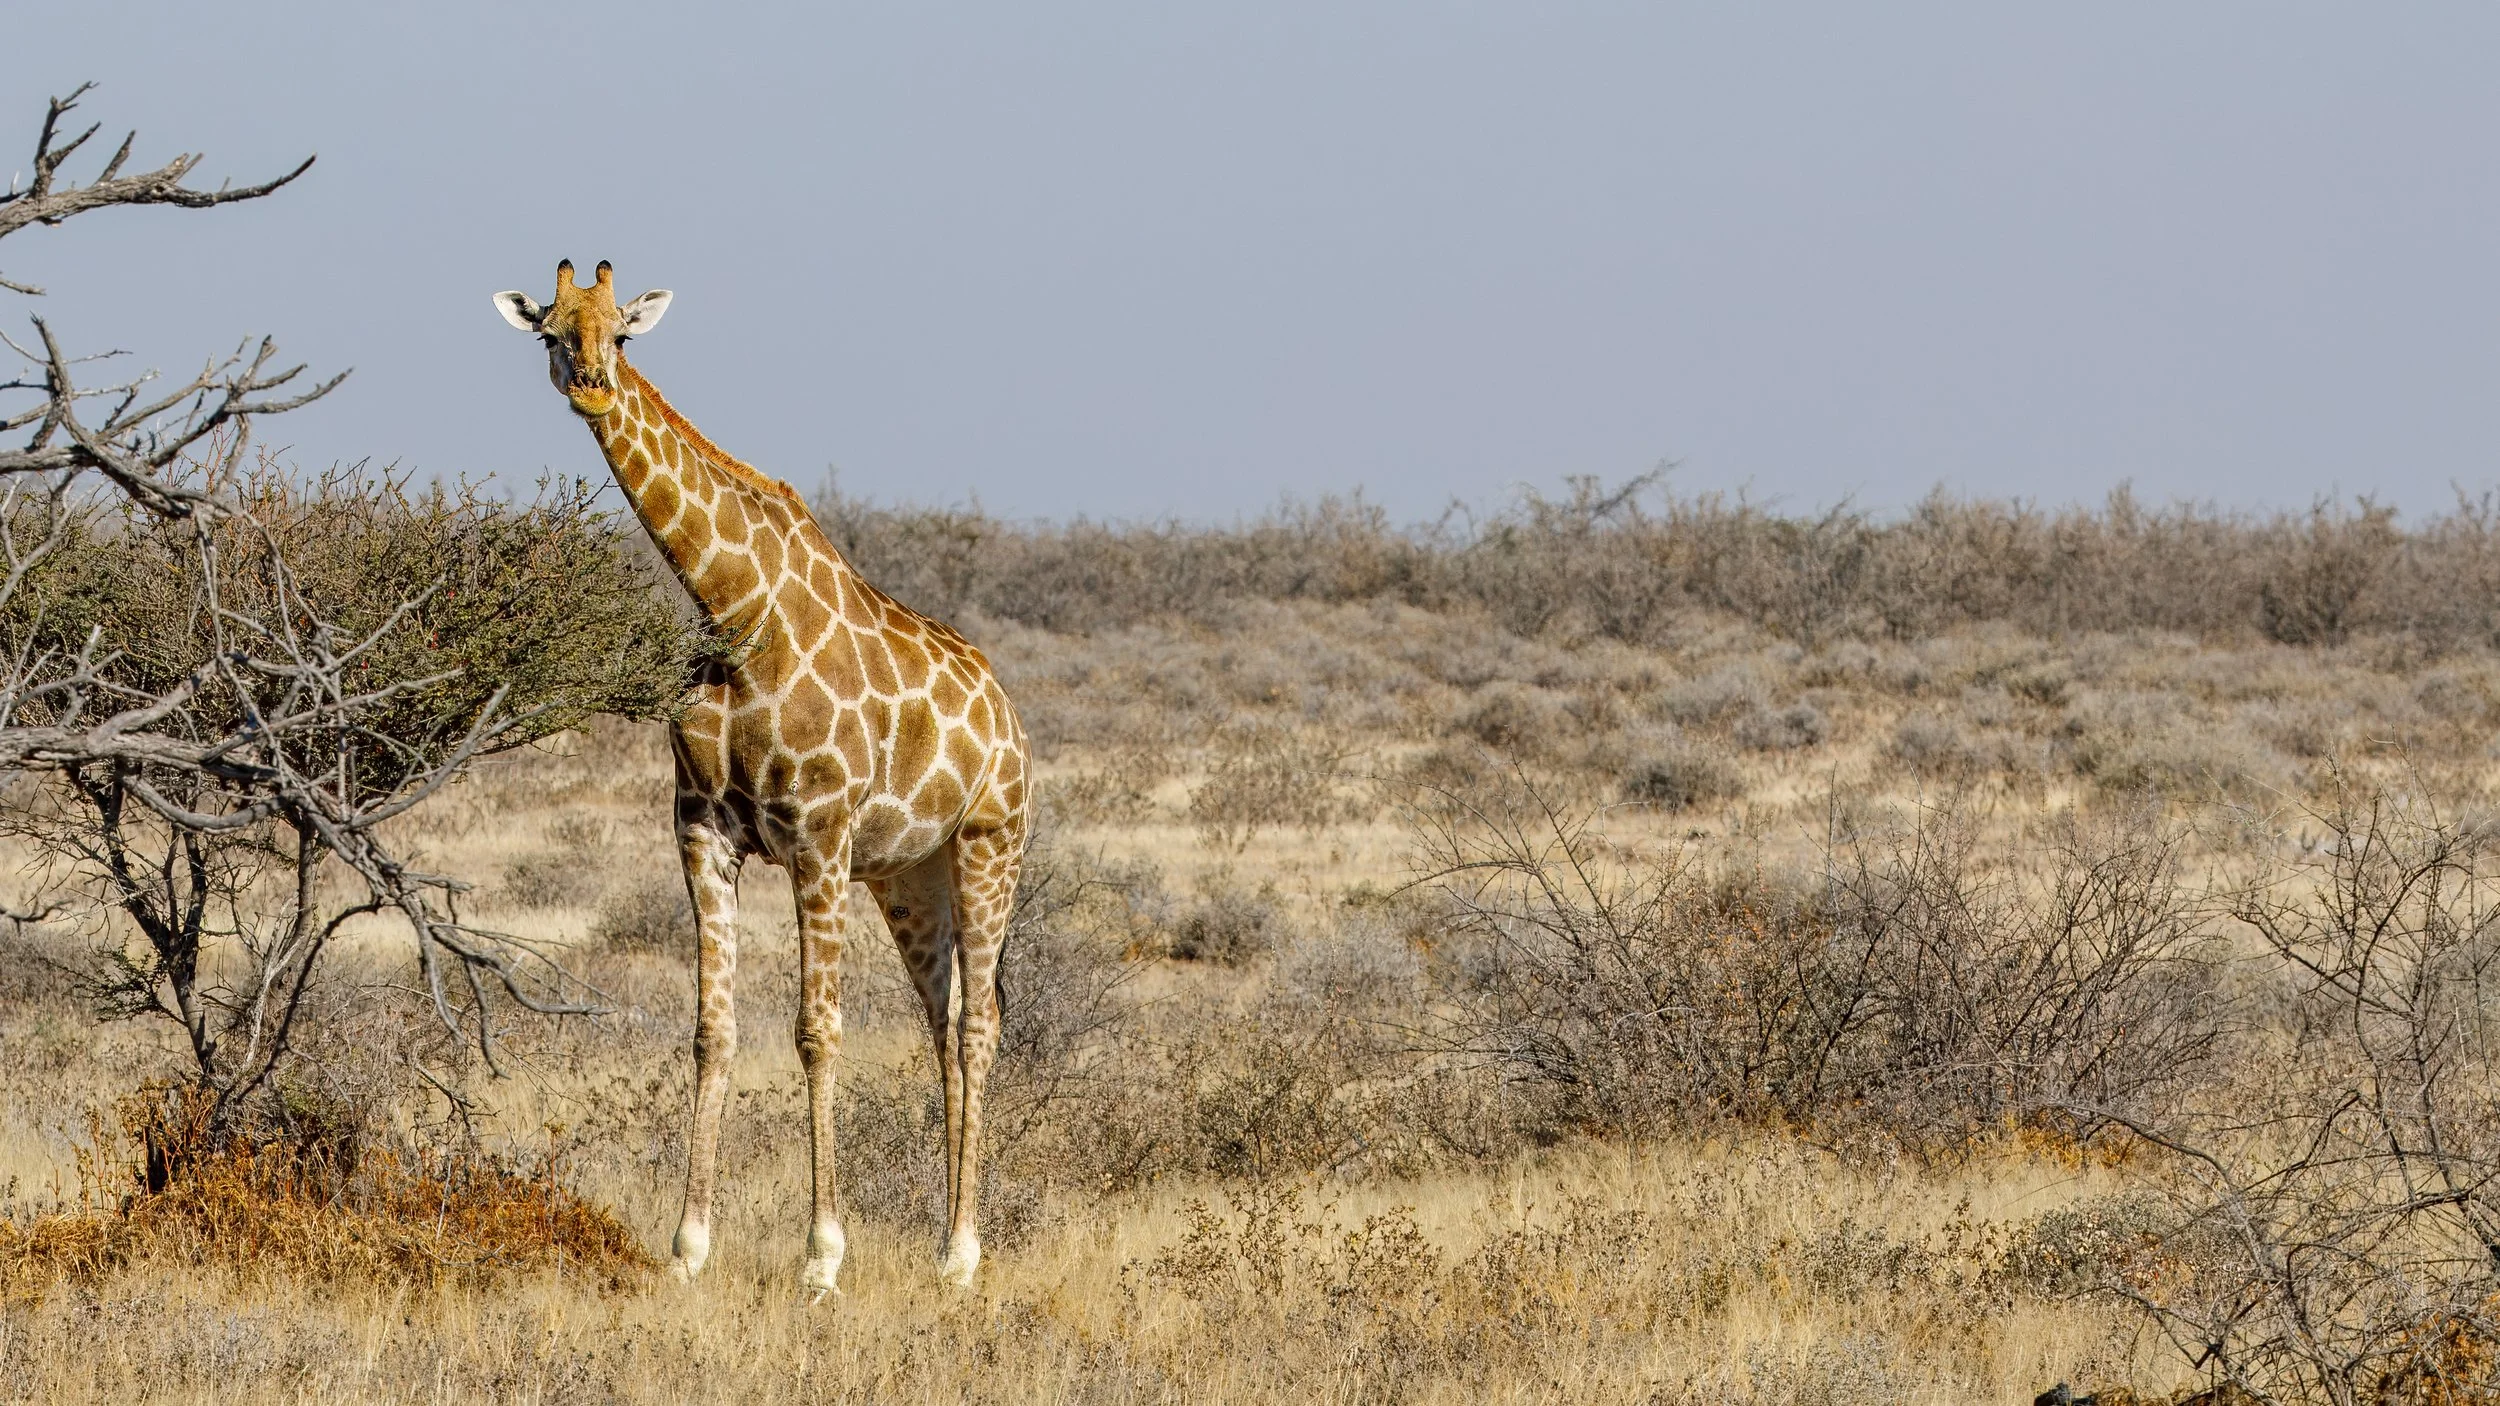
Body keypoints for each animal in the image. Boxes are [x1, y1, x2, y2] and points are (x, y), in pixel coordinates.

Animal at [493, 260, 1031, 1297]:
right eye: (550, 331)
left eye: (622, 332)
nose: (592, 385)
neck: (732, 608)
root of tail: (1007, 712)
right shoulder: (703, 830)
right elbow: (715, 1030)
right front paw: (688, 1247)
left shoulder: (817, 836)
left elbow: (818, 1032)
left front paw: (822, 1259)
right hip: (909, 874)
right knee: (943, 1021)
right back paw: (943, 1238)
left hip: (991, 845)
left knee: (982, 1024)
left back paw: (962, 1254)